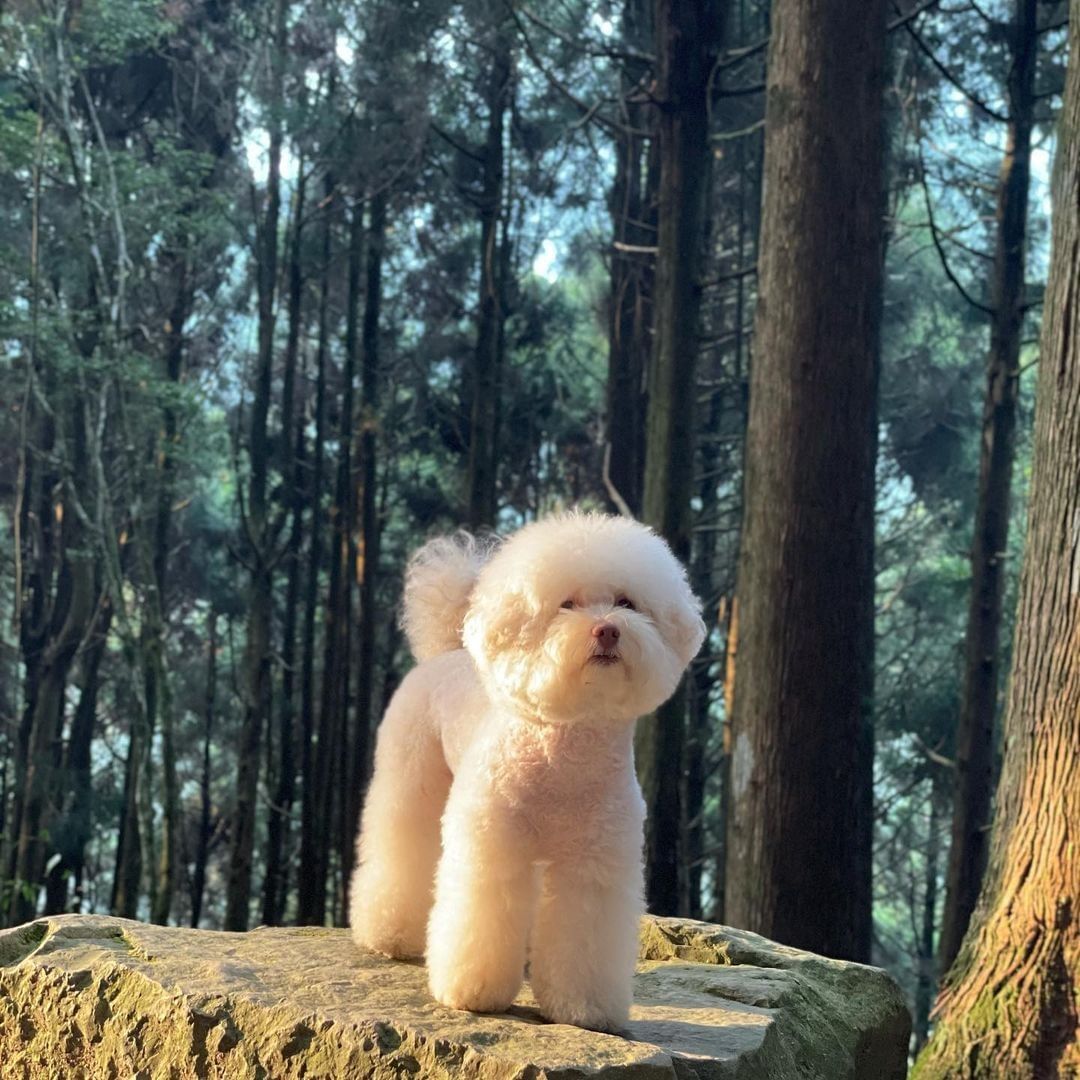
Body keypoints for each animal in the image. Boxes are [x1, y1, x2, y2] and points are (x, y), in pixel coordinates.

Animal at [349, 509, 708, 1032]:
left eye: (626, 602)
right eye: (566, 605)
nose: (607, 630)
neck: (566, 750)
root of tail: (446, 651)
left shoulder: (594, 863)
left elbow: (583, 933)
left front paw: (584, 1008)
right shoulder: (493, 845)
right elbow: (480, 913)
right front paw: (472, 992)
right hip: (409, 783)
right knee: (400, 847)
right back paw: (390, 933)